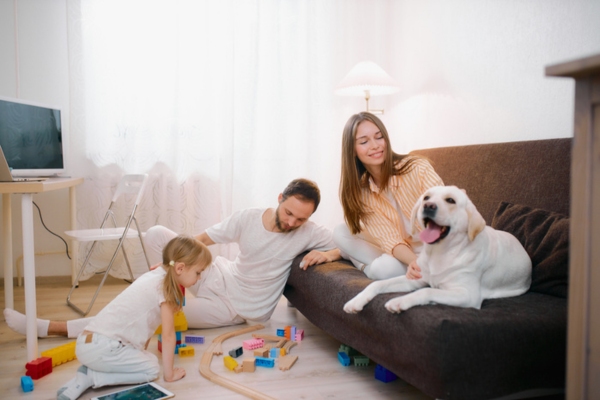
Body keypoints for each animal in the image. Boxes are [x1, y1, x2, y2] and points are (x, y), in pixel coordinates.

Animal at [344, 186, 532, 314]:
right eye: (426, 197)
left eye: (451, 200)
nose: (428, 205)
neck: (440, 253)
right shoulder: (416, 277)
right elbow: (377, 283)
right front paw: (356, 301)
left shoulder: (468, 295)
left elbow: (427, 290)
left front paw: (400, 301)